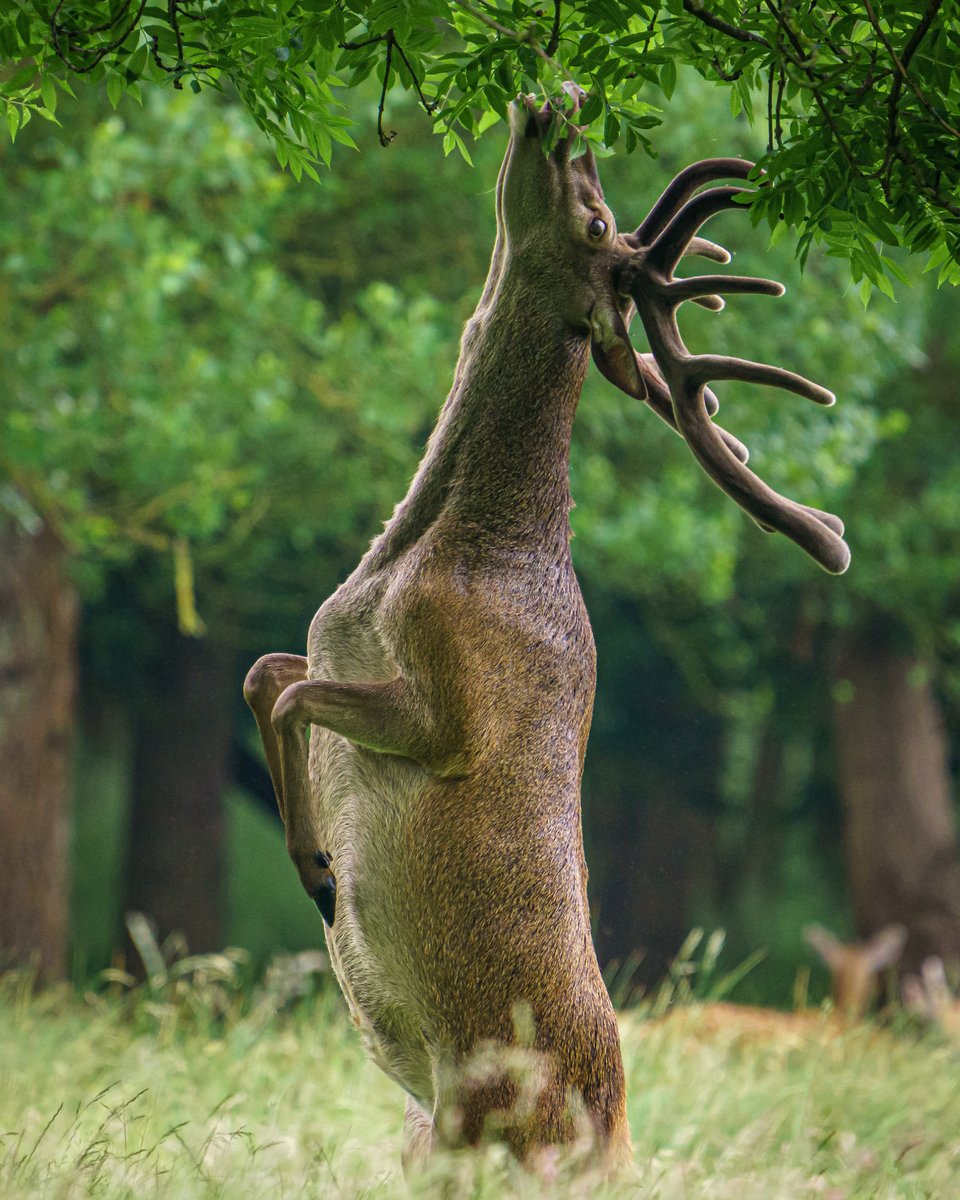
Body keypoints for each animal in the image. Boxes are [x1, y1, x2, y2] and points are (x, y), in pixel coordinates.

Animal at [243, 93, 849, 1161]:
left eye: (597, 223)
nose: (560, 103)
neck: (409, 569)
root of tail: (616, 1142)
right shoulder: (329, 641)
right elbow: (268, 671)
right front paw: (311, 859)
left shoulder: (457, 711)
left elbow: (296, 692)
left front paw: (318, 868)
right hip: (422, 1134)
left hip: (484, 1123)